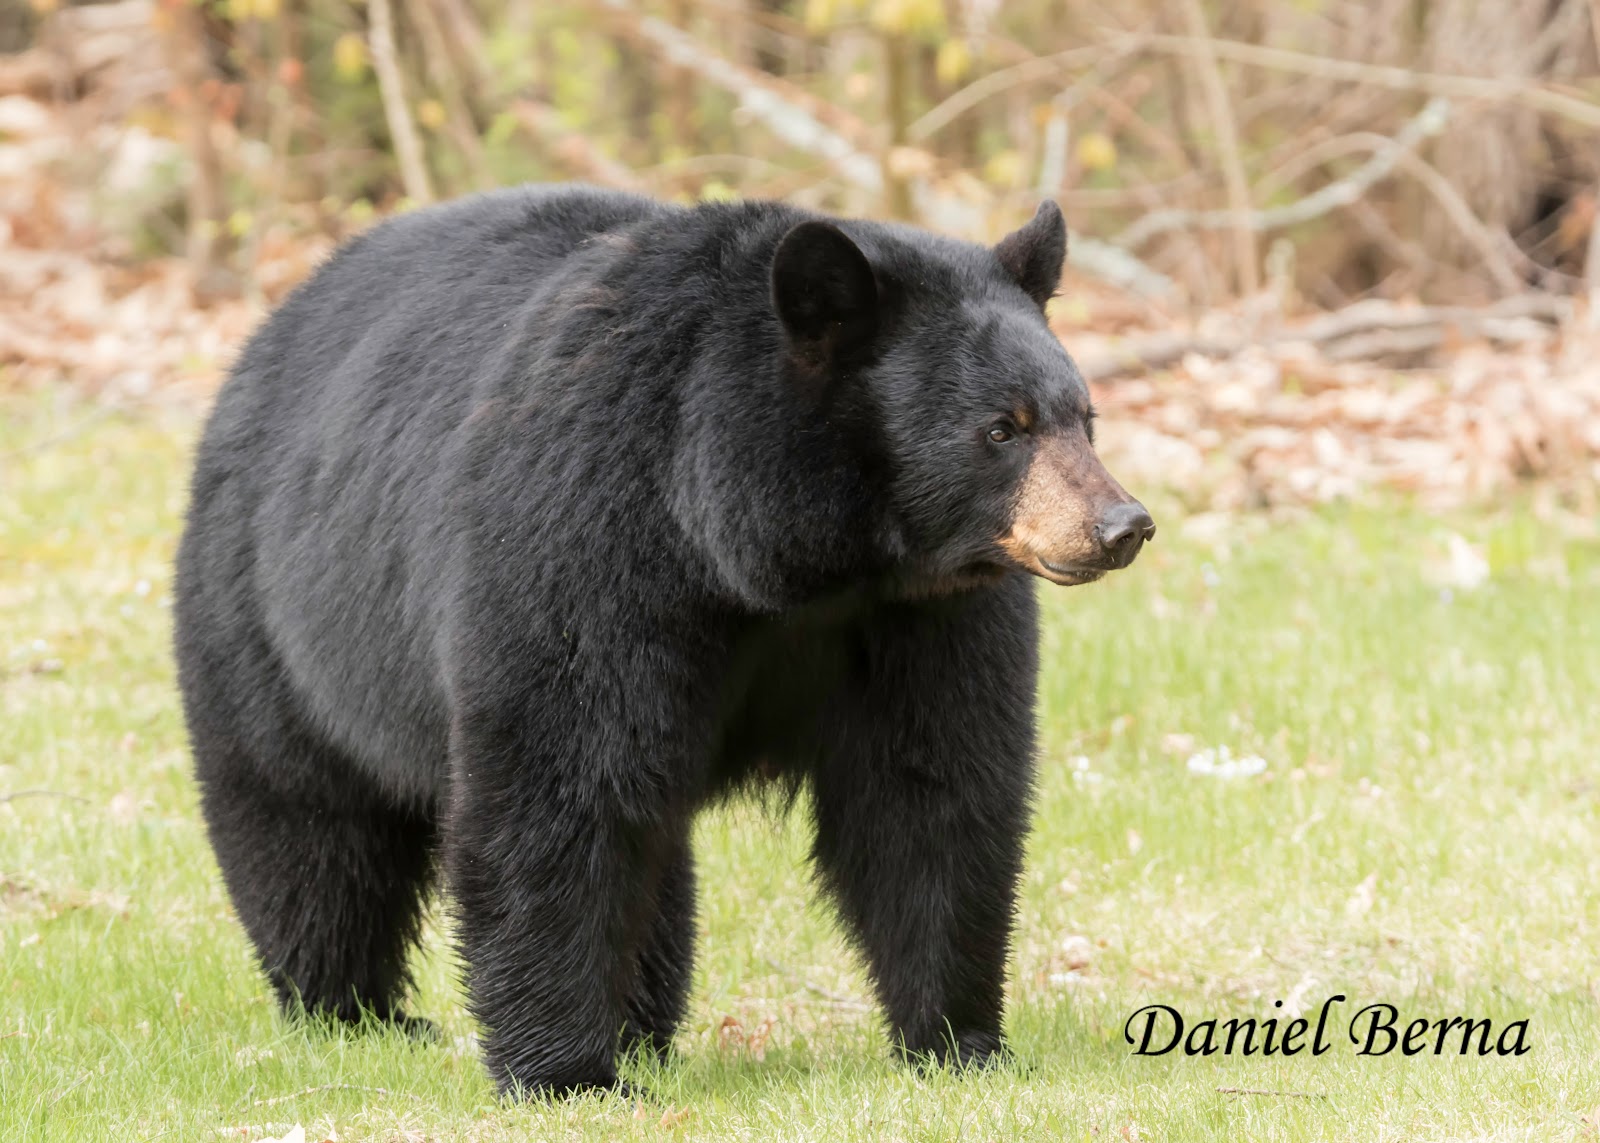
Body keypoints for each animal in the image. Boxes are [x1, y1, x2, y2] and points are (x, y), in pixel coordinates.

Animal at [173, 184, 1154, 1097]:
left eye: (1084, 416)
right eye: (1001, 428)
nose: (1122, 525)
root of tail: (276, 321)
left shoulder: (924, 617)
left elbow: (930, 789)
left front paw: (960, 1040)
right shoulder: (589, 534)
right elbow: (559, 782)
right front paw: (564, 1072)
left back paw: (642, 1025)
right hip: (272, 618)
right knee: (307, 826)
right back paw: (353, 1009)